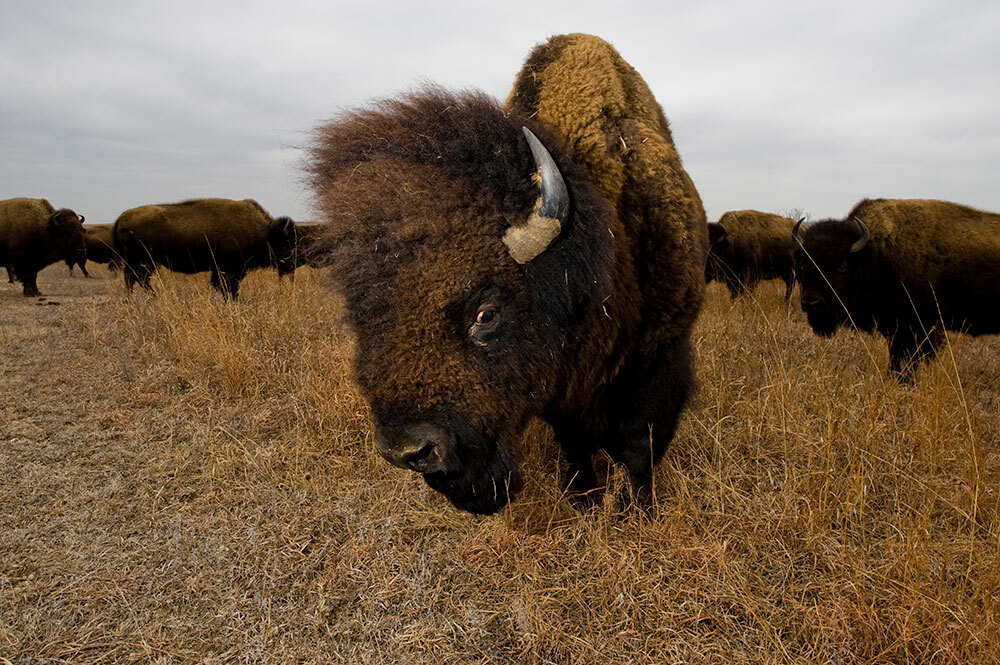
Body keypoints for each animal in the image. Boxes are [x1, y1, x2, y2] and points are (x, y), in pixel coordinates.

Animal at [113, 197, 294, 298]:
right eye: (286, 244)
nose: (292, 266)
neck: (264, 232)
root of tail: (122, 217)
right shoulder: (229, 270)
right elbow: (228, 287)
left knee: (133, 279)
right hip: (144, 261)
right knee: (137, 278)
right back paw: (152, 296)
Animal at [308, 32, 708, 512]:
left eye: (486, 313)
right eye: (359, 315)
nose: (408, 451)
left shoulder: (662, 358)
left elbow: (638, 448)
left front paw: (638, 511)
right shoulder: (560, 390)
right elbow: (575, 443)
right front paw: (584, 498)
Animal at [792, 195, 996, 376]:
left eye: (842, 265)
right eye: (803, 264)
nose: (811, 303)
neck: (876, 255)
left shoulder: (919, 327)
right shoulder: (893, 327)